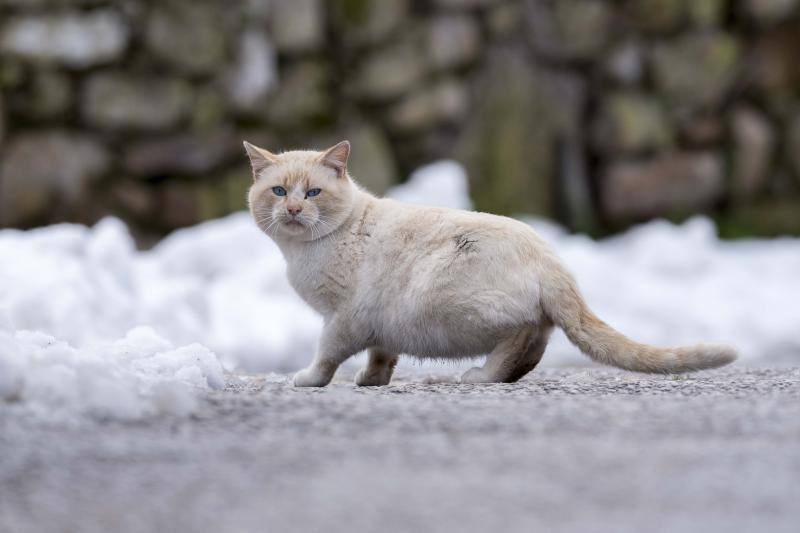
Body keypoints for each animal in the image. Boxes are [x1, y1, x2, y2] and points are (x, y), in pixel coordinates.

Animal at [244, 139, 736, 384]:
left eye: (312, 193)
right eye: (278, 192)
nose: (293, 210)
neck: (302, 252)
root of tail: (551, 259)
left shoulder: (344, 318)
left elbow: (326, 356)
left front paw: (309, 379)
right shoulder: (377, 325)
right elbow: (382, 356)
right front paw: (371, 382)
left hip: (444, 301)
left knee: (521, 335)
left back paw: (477, 377)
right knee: (537, 343)